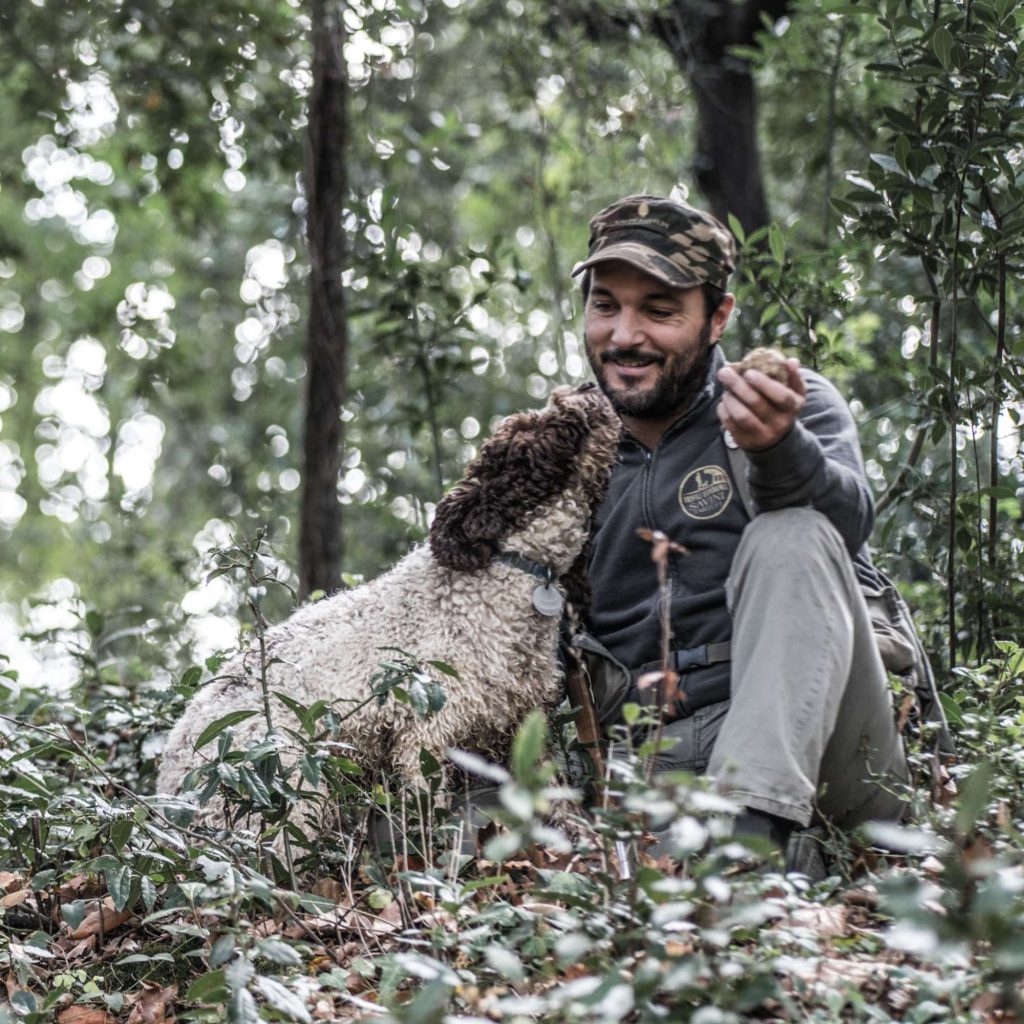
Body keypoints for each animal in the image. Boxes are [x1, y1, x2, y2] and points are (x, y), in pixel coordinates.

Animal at [156, 384, 620, 834]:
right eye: (542, 424)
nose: (588, 384)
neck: (502, 578)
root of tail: (172, 785)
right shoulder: (426, 733)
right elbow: (432, 817)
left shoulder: (522, 721)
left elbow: (554, 797)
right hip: (288, 787)